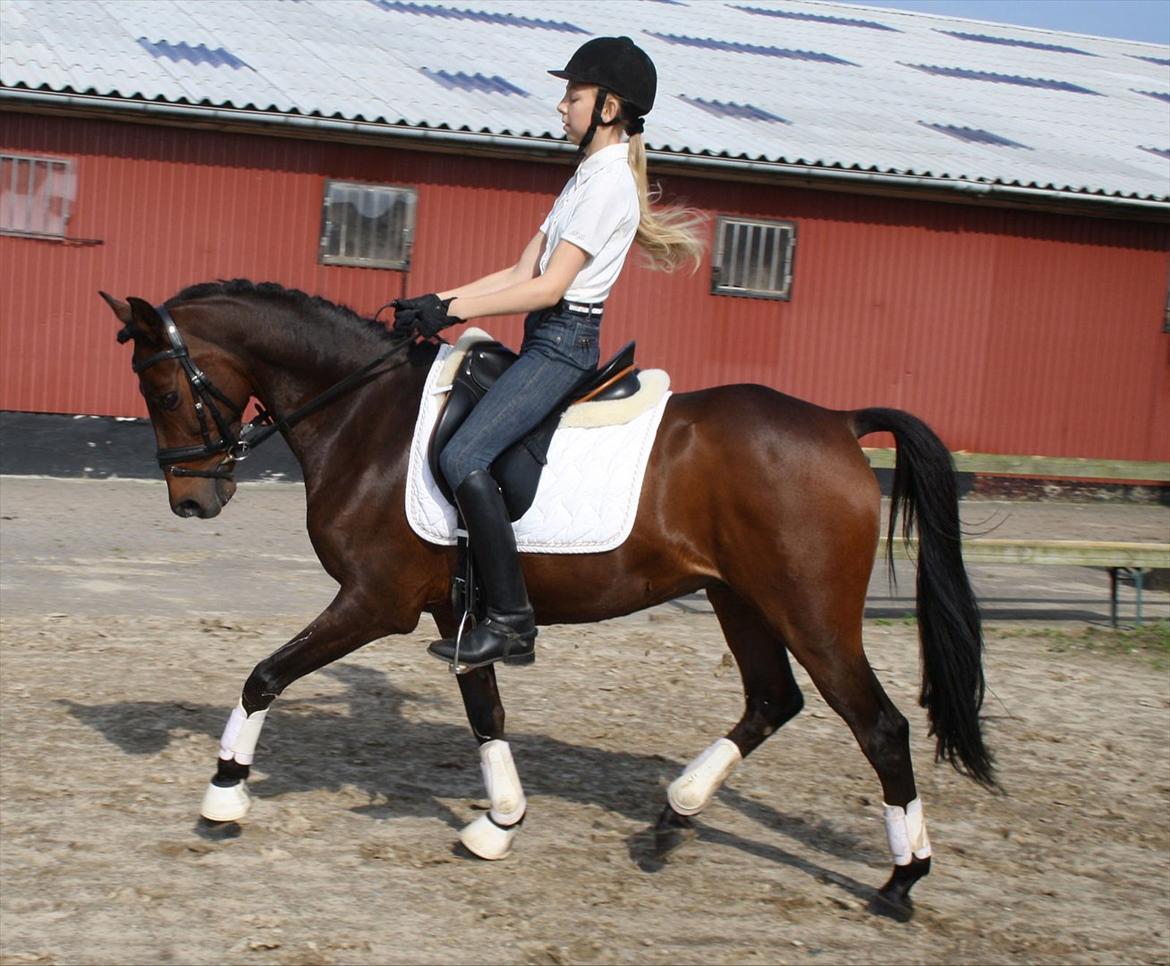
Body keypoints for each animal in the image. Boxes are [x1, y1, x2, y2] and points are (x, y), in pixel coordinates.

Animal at [100, 278, 993, 922]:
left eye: (164, 391)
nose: (193, 500)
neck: (363, 416)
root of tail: (839, 422)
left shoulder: (374, 601)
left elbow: (264, 675)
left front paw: (224, 793)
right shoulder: (461, 617)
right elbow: (486, 712)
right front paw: (498, 823)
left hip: (809, 611)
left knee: (878, 726)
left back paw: (902, 881)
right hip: (738, 599)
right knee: (773, 700)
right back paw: (675, 812)